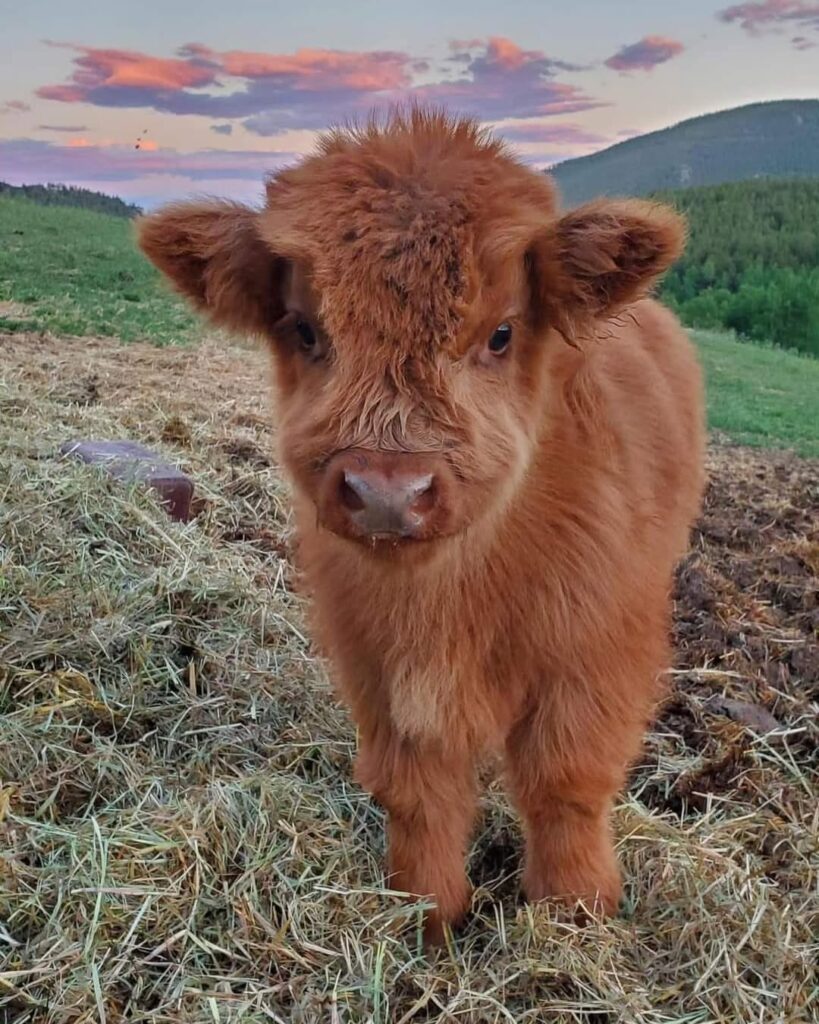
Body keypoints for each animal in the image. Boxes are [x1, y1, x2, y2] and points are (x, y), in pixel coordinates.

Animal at [138, 107, 705, 946]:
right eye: (304, 329)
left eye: (500, 333)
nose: (386, 492)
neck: (452, 596)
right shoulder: (375, 660)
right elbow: (417, 788)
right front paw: (425, 914)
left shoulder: (595, 650)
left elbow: (565, 778)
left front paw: (573, 914)